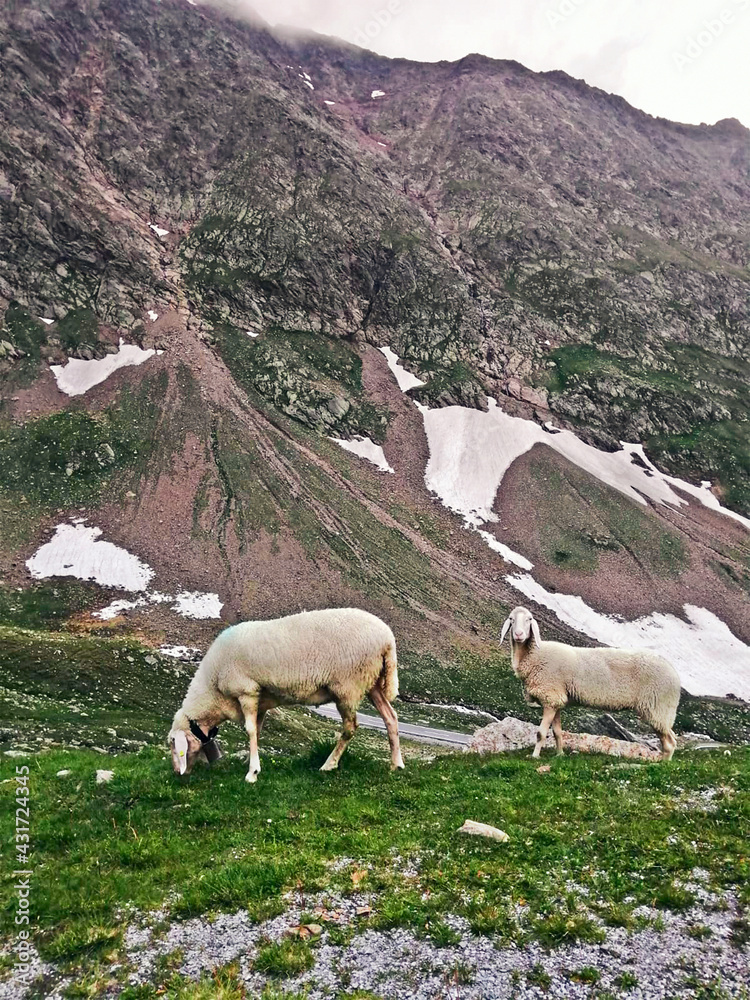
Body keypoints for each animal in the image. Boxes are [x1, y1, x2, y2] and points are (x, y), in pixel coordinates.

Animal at [168, 607, 404, 782]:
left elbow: (250, 730)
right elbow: (257, 731)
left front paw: (252, 773)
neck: (213, 689)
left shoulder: (247, 691)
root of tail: (388, 638)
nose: (176, 773)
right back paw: (396, 764)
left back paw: (329, 764)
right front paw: (251, 762)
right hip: (371, 681)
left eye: (172, 744)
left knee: (350, 727)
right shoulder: (261, 700)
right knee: (390, 717)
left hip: (348, 686)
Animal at [500, 606, 681, 760]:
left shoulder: (550, 697)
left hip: (658, 708)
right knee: (670, 739)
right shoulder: (556, 699)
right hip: (659, 711)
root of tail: (674, 672)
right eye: (511, 619)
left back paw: (663, 765)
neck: (535, 655)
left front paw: (535, 756)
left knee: (670, 742)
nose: (518, 634)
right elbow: (557, 732)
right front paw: (559, 754)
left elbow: (541, 733)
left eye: (529, 619)